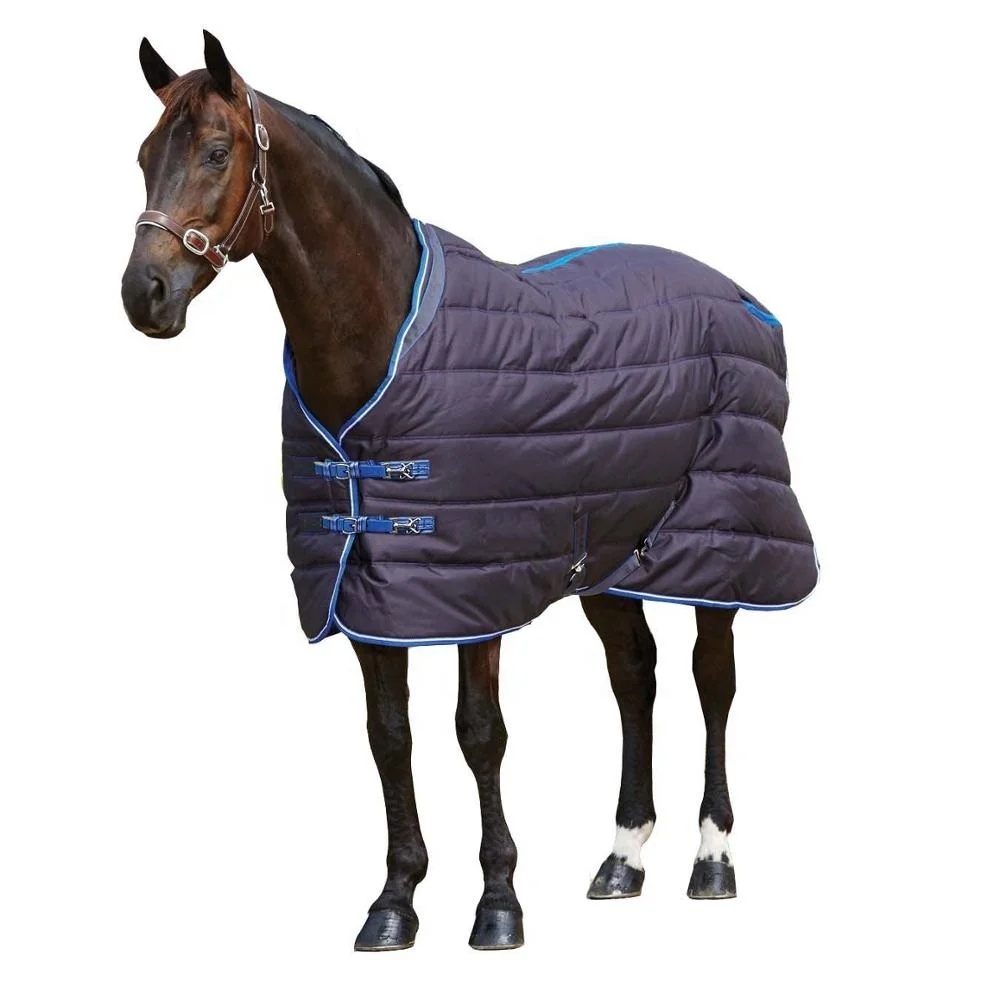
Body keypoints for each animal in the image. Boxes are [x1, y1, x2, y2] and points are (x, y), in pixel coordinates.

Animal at [121, 32, 816, 951]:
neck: (380, 343)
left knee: (713, 679)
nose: (144, 294)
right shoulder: (370, 589)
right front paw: (394, 901)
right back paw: (622, 857)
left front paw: (498, 903)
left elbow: (479, 733)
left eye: (214, 151)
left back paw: (712, 859)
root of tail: (744, 298)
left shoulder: (477, 589)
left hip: (724, 547)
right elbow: (390, 737)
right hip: (612, 555)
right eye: (142, 157)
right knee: (635, 676)